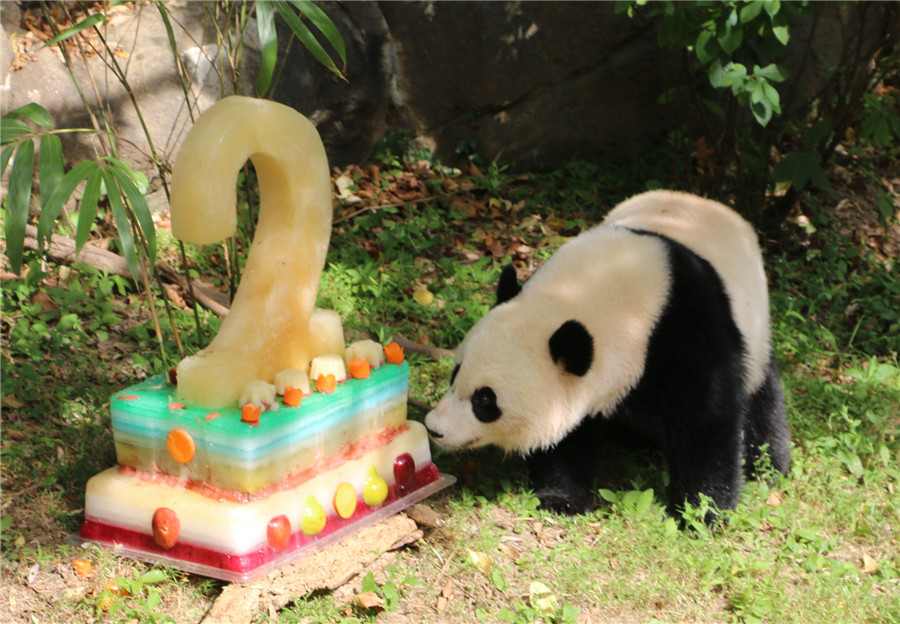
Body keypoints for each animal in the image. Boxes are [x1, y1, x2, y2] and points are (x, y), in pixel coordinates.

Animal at [426, 190, 792, 520]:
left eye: (485, 400)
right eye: (455, 373)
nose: (435, 428)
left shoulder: (684, 332)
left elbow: (707, 421)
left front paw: (700, 512)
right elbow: (569, 435)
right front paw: (561, 500)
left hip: (755, 327)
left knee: (762, 397)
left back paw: (768, 467)